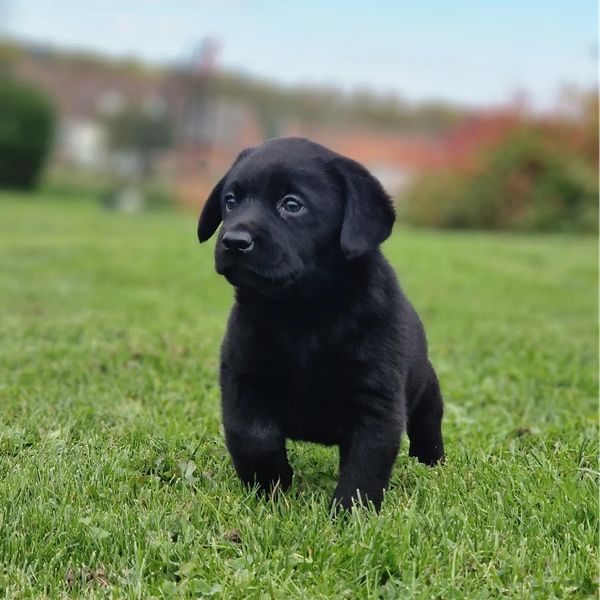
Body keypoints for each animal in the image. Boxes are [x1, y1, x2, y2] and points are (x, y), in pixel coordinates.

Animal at [199, 137, 442, 510]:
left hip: (426, 391)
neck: (304, 311)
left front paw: (349, 514)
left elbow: (365, 464)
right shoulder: (244, 379)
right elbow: (254, 438)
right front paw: (270, 489)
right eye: (231, 201)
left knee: (429, 425)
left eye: (292, 205)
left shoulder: (376, 401)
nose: (234, 241)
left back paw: (432, 462)